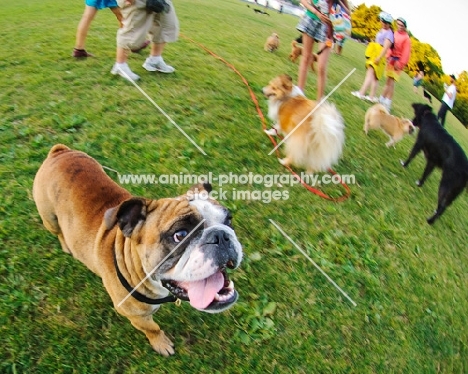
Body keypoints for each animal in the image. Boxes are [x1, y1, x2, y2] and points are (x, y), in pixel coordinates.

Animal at [33, 144, 241, 356]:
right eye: (180, 235)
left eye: (228, 220)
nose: (220, 236)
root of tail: (60, 151)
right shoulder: (135, 316)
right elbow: (152, 328)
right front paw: (161, 343)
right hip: (49, 217)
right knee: (58, 230)